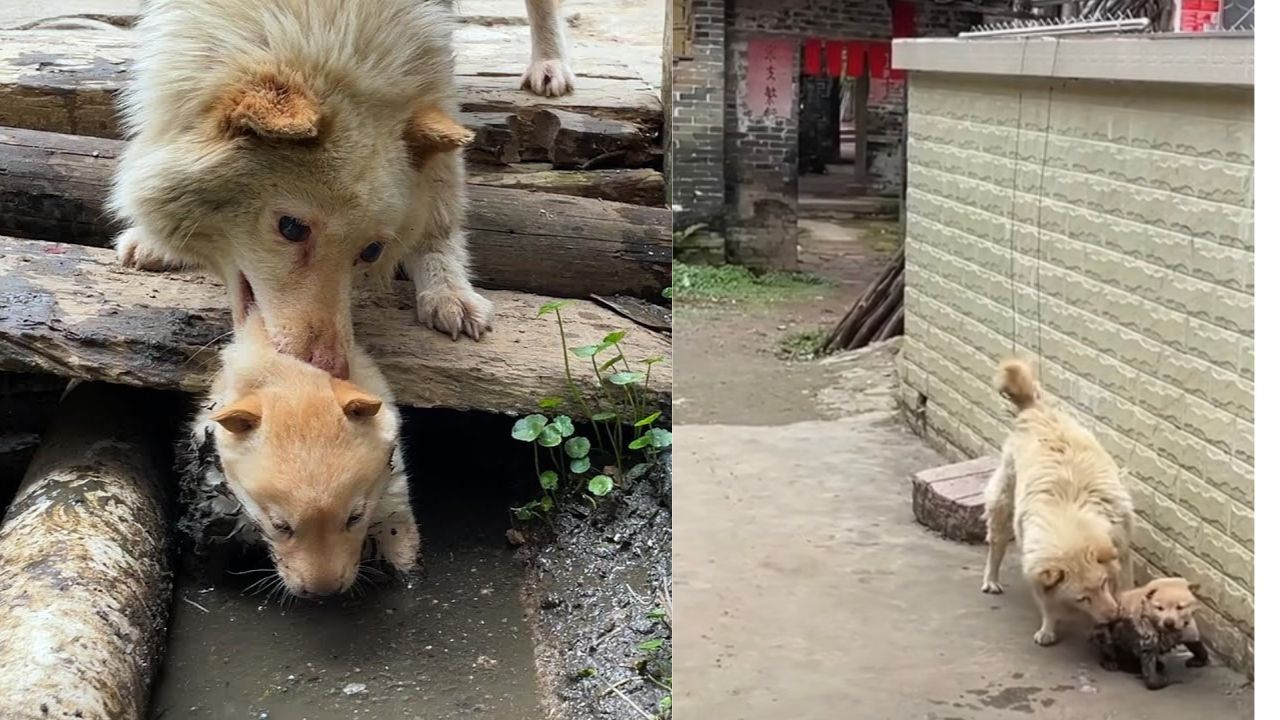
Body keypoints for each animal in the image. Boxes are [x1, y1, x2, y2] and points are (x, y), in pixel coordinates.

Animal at [185, 308, 419, 594]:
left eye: (355, 517)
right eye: (280, 526)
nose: (324, 593)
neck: (289, 375)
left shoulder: (393, 492)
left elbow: (402, 544)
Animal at [977, 358, 1141, 645]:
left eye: (1103, 584)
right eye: (1083, 598)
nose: (1112, 615)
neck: (1069, 513)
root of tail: (1035, 410)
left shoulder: (1121, 551)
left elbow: (1124, 585)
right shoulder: (1039, 566)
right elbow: (1048, 603)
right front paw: (1048, 628)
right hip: (1004, 504)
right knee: (996, 546)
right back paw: (991, 580)